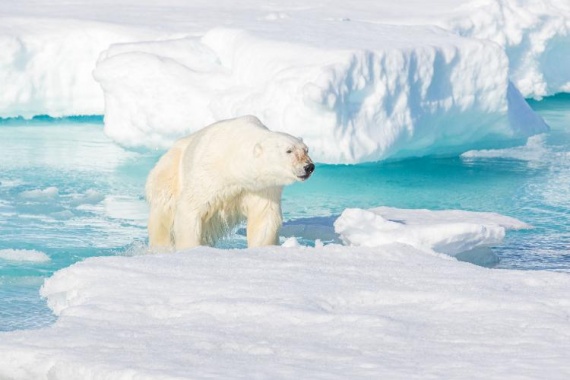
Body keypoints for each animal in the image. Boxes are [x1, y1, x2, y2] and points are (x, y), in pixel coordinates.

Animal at [144, 116, 312, 252]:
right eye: (289, 151)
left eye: (306, 150)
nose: (309, 166)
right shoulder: (209, 174)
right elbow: (190, 208)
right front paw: (191, 249)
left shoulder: (262, 187)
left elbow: (264, 217)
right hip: (169, 173)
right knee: (163, 214)